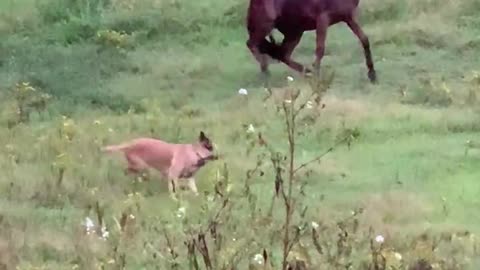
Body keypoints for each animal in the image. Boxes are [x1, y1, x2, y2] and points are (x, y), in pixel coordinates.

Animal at [246, 0, 376, 83]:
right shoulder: (323, 18)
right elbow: (320, 49)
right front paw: (317, 80)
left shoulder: (349, 17)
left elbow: (364, 40)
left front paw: (372, 75)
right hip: (265, 25)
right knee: (252, 43)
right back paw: (265, 70)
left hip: (295, 32)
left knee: (282, 54)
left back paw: (307, 72)